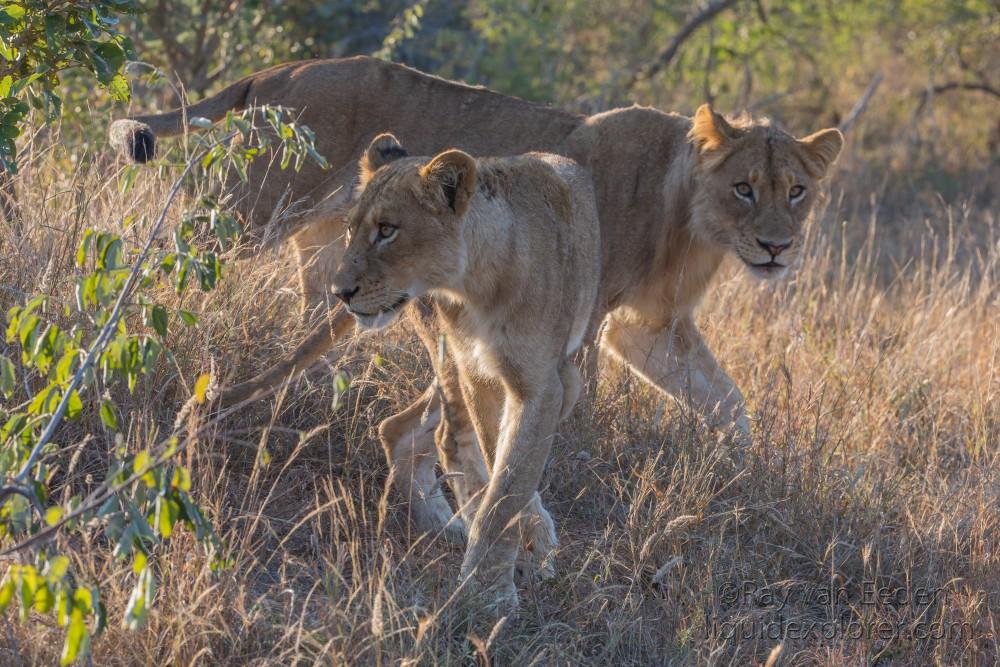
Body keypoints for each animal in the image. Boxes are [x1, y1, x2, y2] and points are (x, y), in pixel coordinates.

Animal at [111, 56, 844, 544]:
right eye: (745, 188)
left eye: (797, 191)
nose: (777, 248)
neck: (692, 217)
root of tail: (275, 74)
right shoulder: (583, 323)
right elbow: (557, 423)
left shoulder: (649, 329)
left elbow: (730, 405)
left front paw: (742, 478)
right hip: (252, 214)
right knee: (179, 256)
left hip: (333, 267)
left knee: (389, 411)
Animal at [332, 133, 600, 604]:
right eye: (351, 229)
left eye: (387, 230)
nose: (340, 292)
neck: (475, 285)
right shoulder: (477, 374)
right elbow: (498, 471)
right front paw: (497, 575)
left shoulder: (539, 386)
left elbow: (509, 484)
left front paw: (488, 588)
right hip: (450, 359)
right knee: (439, 438)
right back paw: (458, 523)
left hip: (567, 378)